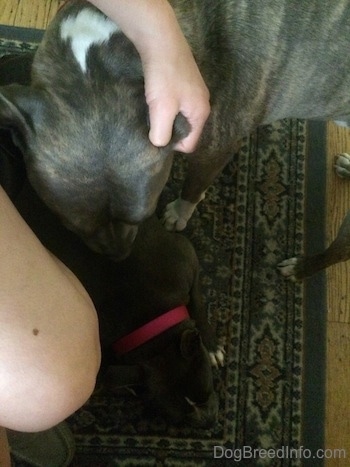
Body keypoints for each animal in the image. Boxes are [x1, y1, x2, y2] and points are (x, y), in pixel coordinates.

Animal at [0, 0, 350, 272]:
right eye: (70, 226)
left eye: (145, 216)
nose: (119, 257)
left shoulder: (216, 147)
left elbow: (194, 184)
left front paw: (179, 213)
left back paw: (301, 268)